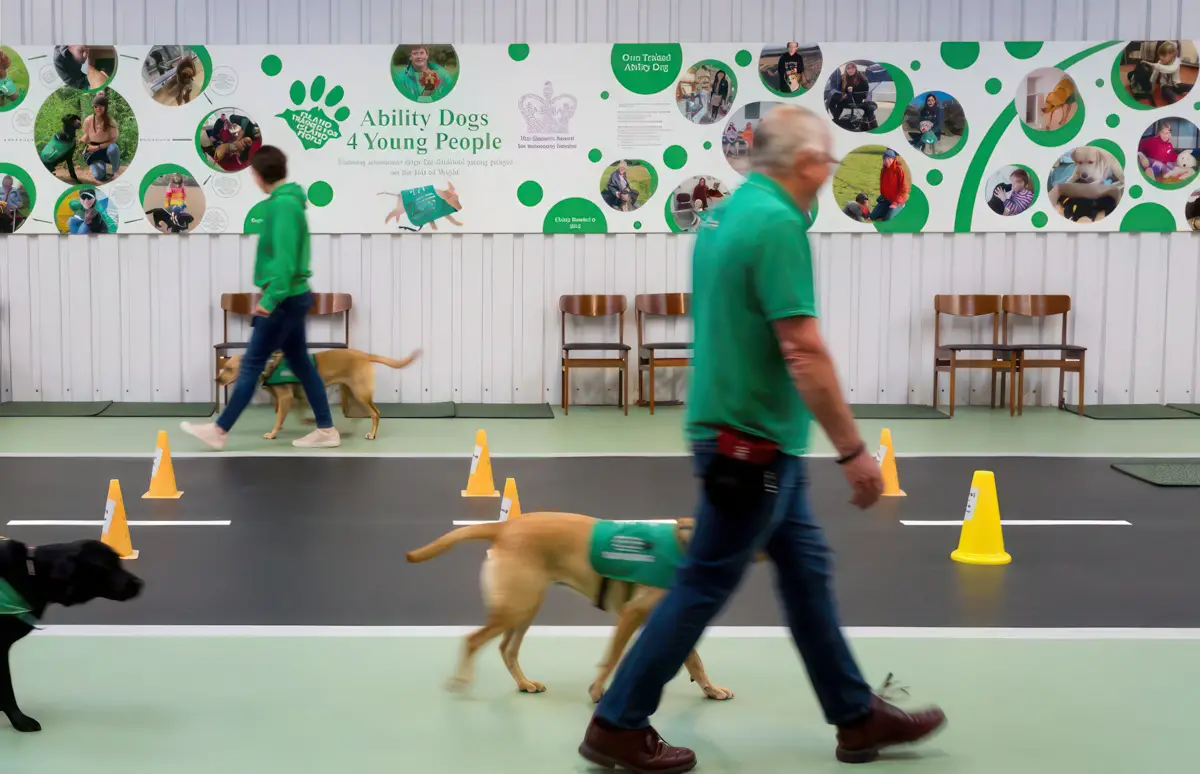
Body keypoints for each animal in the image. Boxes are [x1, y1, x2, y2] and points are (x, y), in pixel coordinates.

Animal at [0, 537, 142, 729]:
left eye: (119, 562)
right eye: (107, 566)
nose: (140, 584)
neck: (33, 572)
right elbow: (7, 690)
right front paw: (20, 721)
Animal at [408, 511, 734, 705]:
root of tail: (506, 526)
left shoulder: (669, 622)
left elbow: (696, 663)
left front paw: (711, 689)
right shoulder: (631, 614)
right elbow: (610, 660)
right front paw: (597, 692)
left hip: (526, 607)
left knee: (506, 649)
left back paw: (524, 683)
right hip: (517, 607)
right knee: (473, 640)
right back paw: (462, 681)